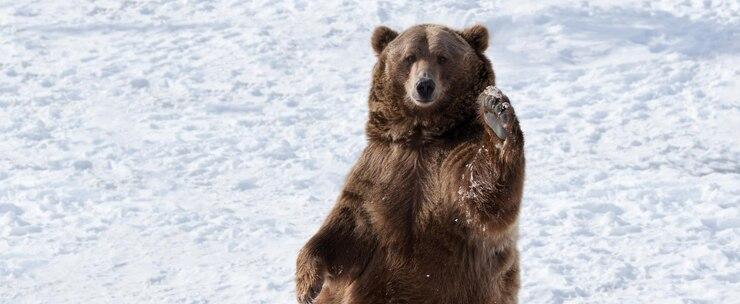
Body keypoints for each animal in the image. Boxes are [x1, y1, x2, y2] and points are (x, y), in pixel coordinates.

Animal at [296, 24, 528, 304]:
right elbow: (346, 226)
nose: (424, 85)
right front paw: (307, 285)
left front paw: (496, 114)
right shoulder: (380, 168)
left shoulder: (449, 166)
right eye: (409, 57)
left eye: (442, 57)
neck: (422, 135)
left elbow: (483, 197)